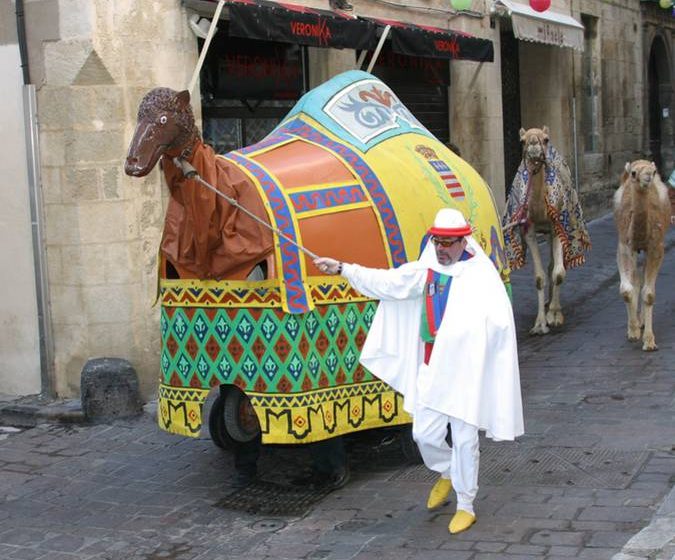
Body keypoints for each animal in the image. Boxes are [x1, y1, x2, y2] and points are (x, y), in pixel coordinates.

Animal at [612, 159, 672, 350]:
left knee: (643, 280)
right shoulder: (624, 245)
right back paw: (638, 324)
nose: (647, 178)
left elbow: (649, 294)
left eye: (653, 172)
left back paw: (643, 322)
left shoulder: (655, 247)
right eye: (633, 173)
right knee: (636, 279)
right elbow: (626, 289)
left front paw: (649, 342)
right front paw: (633, 332)